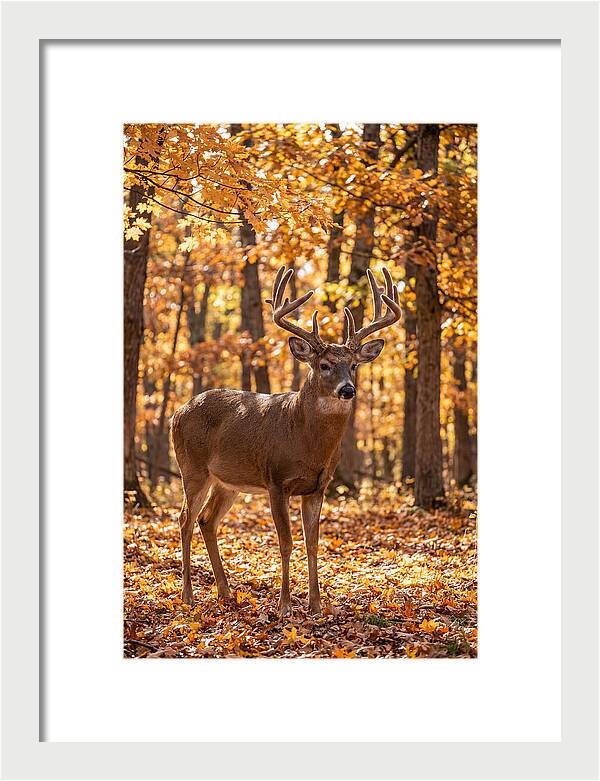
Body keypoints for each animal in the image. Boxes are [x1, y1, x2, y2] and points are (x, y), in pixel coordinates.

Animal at [170, 265, 401, 618]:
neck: (306, 442)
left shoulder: (318, 487)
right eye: (324, 365)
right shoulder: (276, 480)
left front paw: (317, 605)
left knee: (206, 520)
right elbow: (286, 542)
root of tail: (177, 412)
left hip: (228, 482)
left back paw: (226, 593)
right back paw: (188, 596)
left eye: (353, 365)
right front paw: (284, 606)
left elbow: (312, 543)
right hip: (192, 468)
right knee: (185, 518)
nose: (348, 389)